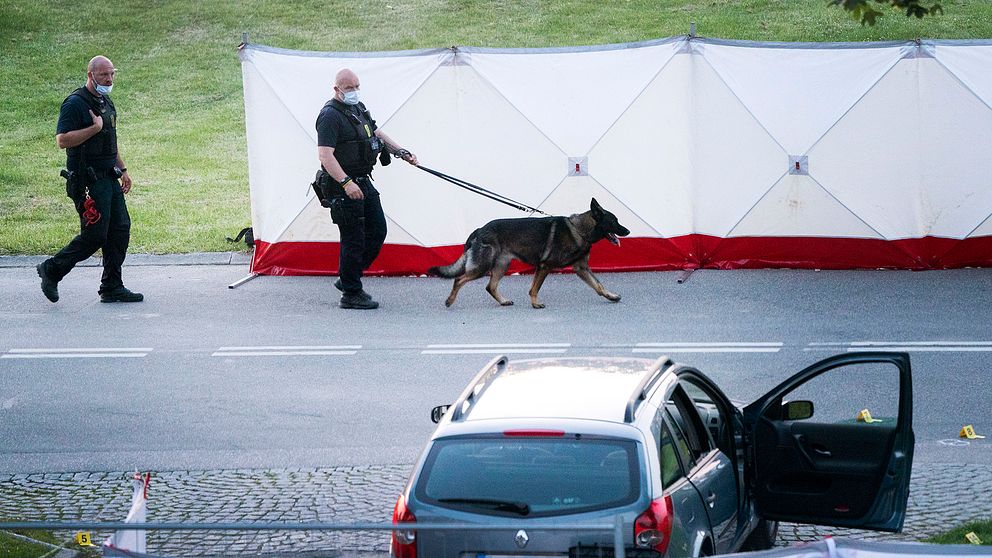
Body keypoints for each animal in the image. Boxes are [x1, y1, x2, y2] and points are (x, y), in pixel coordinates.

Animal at [426, 198, 628, 310]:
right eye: (614, 221)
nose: (628, 231)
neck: (580, 230)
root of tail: (479, 229)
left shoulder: (582, 269)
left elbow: (599, 286)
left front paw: (611, 296)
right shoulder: (545, 267)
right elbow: (534, 289)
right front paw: (535, 304)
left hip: (501, 266)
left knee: (490, 286)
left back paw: (503, 301)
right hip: (483, 267)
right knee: (459, 280)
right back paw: (449, 301)